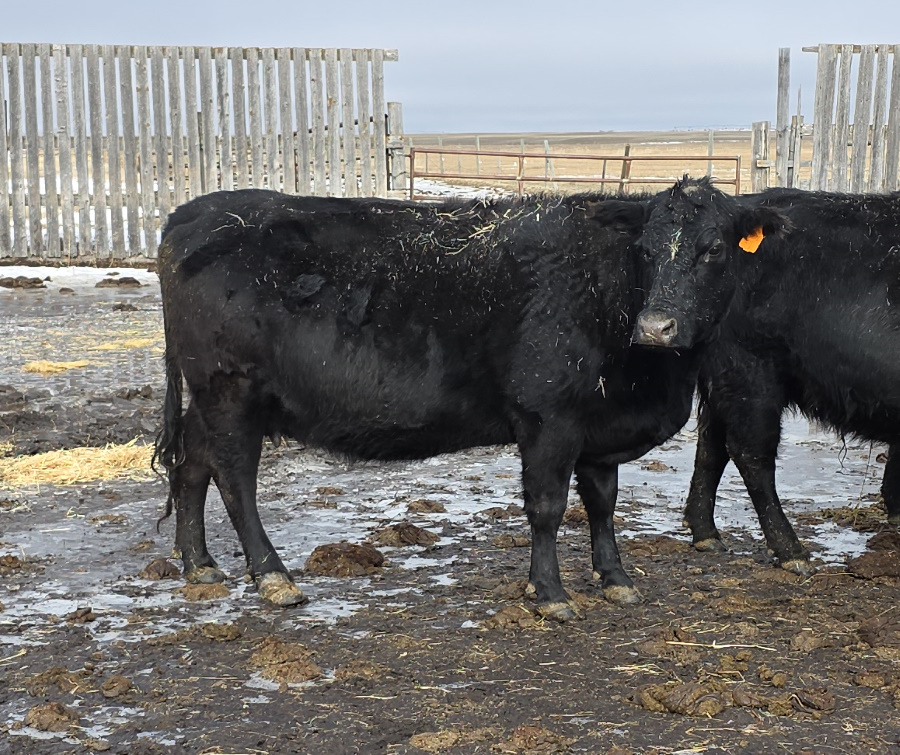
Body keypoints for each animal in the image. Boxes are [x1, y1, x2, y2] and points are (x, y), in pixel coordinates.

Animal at [153, 188, 701, 621]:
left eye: (714, 249)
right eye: (646, 252)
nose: (658, 326)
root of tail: (190, 213)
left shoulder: (597, 430)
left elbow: (603, 503)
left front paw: (616, 580)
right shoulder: (550, 419)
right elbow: (548, 507)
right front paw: (550, 594)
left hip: (210, 398)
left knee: (191, 463)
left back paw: (199, 564)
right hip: (231, 392)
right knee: (233, 477)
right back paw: (273, 577)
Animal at [596, 176, 900, 572]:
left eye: (713, 249)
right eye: (645, 250)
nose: (653, 328)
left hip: (727, 379)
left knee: (712, 445)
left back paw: (705, 533)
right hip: (750, 374)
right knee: (750, 454)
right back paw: (790, 549)